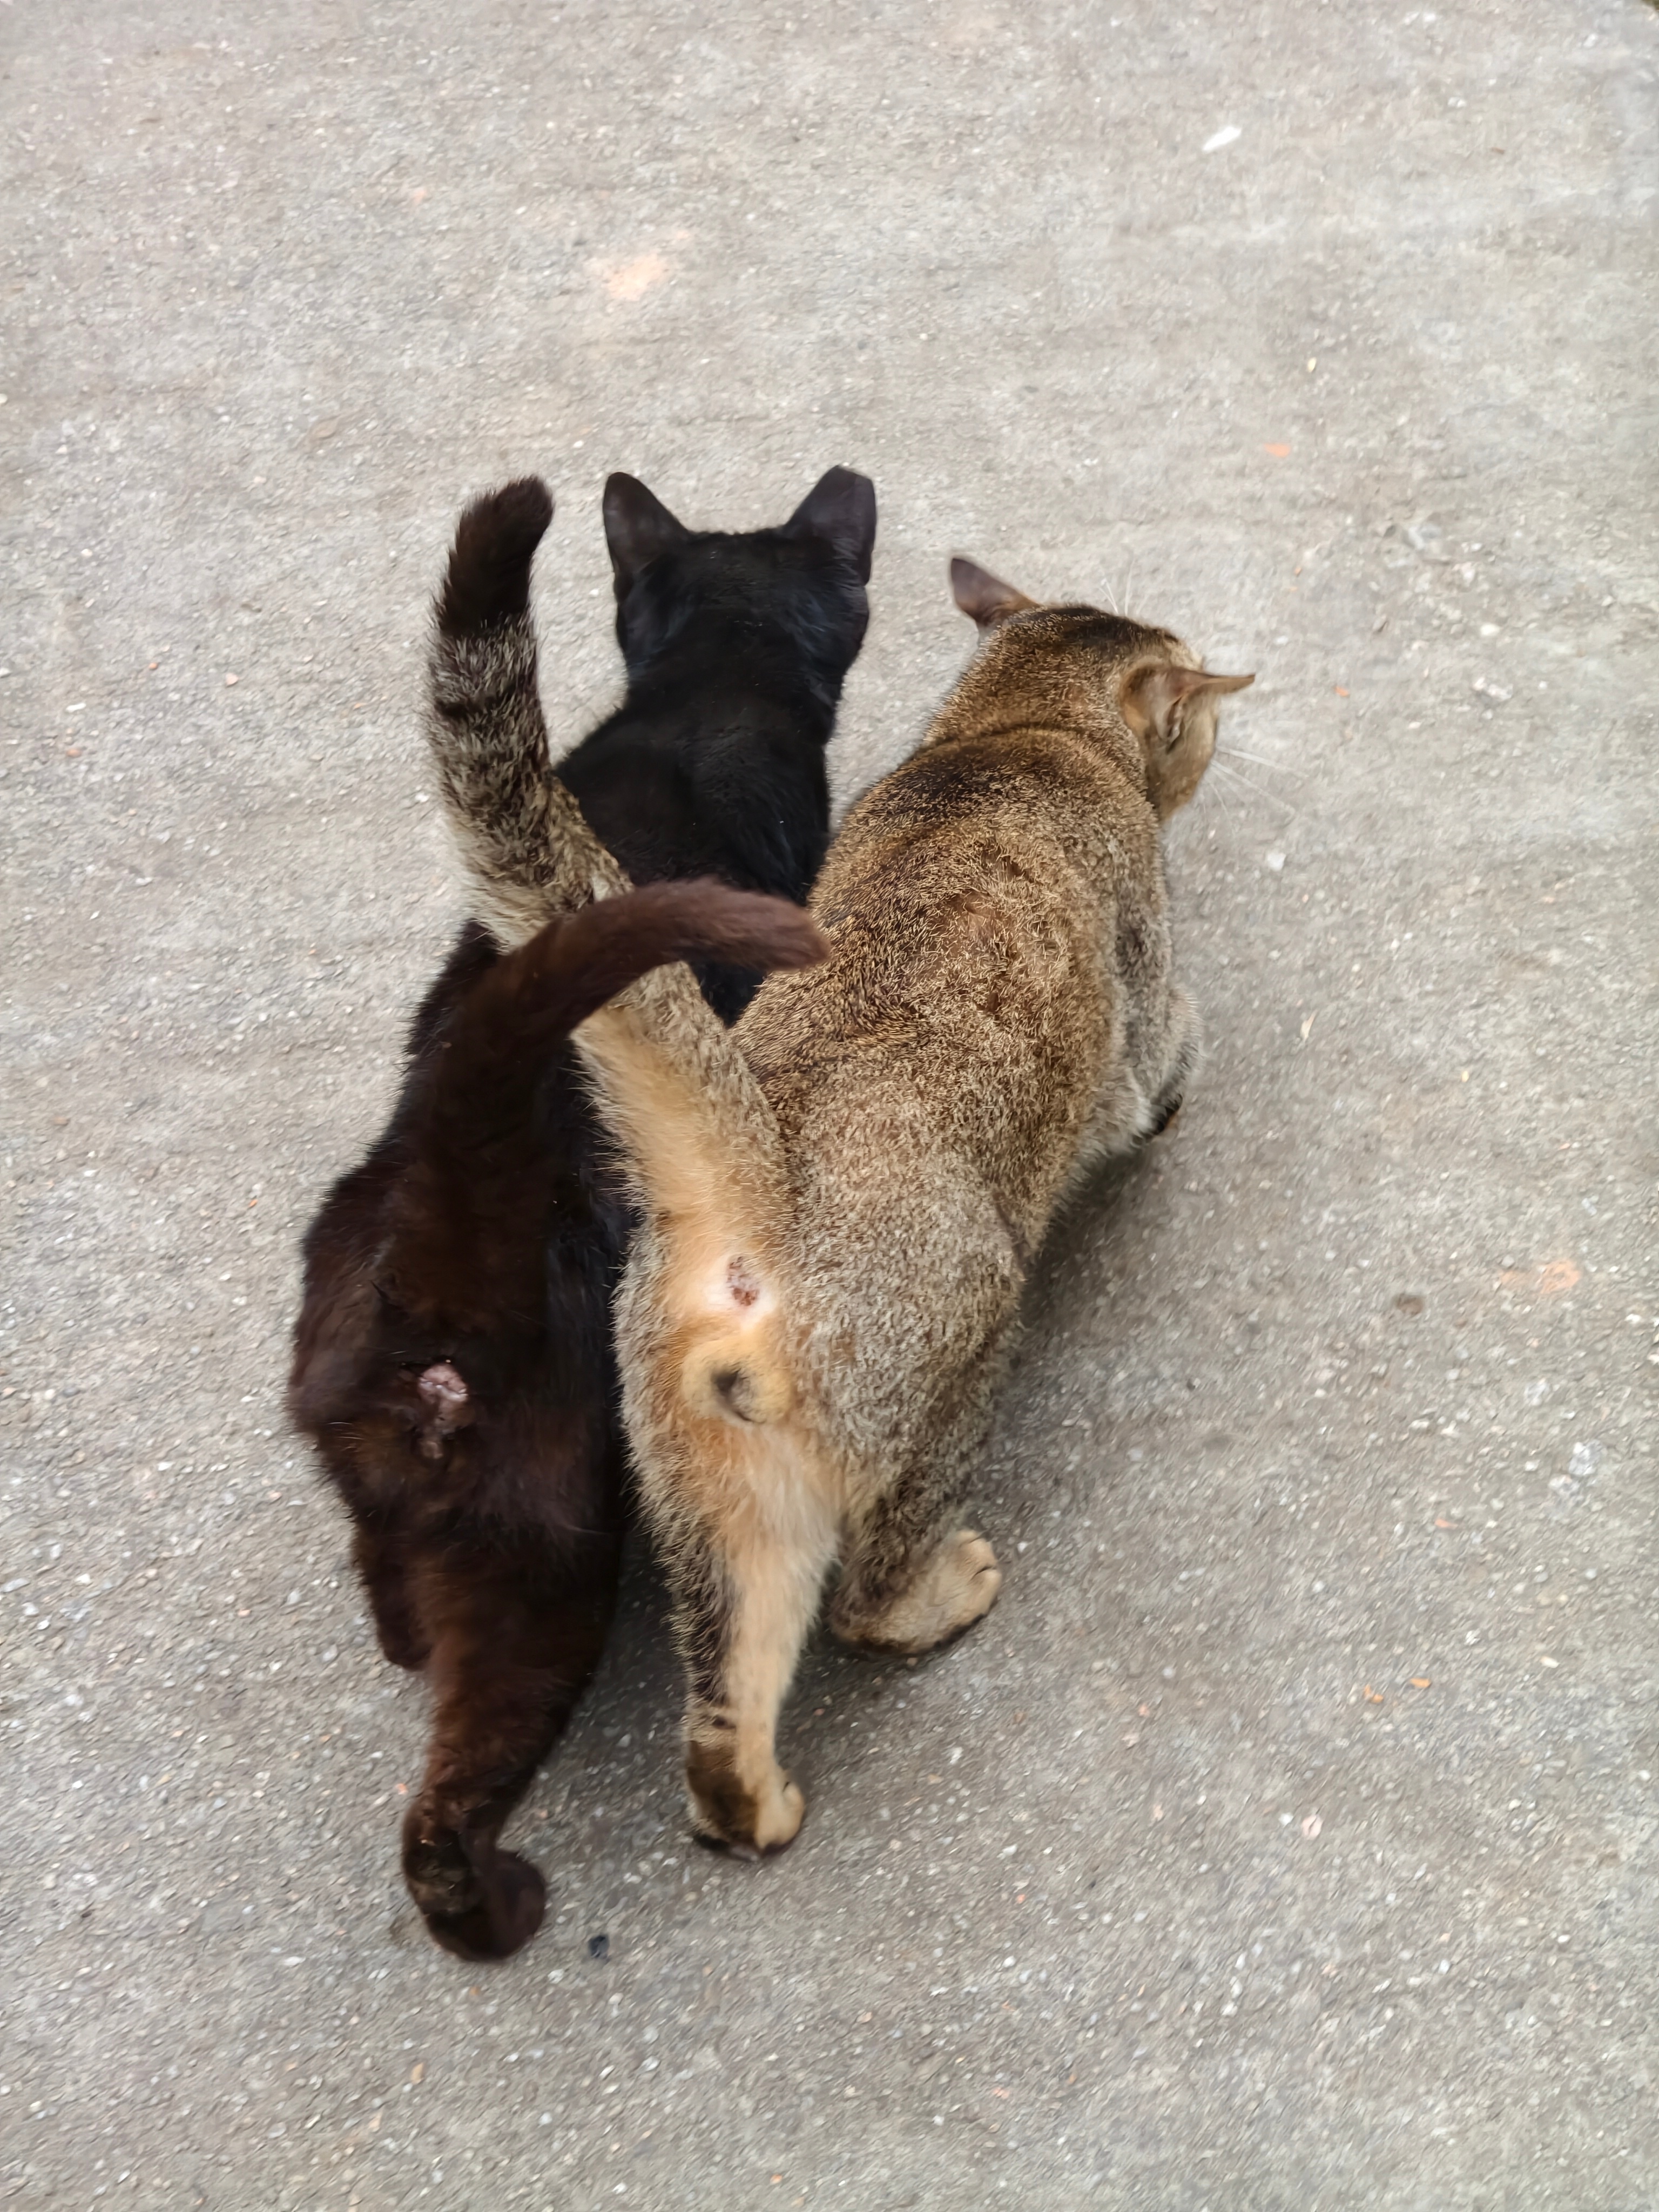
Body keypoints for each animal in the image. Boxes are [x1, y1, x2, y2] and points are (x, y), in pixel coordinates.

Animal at [288, 463, 875, 1958]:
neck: (703, 689)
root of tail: (436, 1248)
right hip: (547, 1575)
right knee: (442, 1808)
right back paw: (495, 1907)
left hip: (399, 1507)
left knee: (393, 1605)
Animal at [426, 554, 1252, 1859]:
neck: (1007, 736)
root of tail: (758, 1177)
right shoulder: (1141, 980)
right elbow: (1166, 1053)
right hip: (952, 1350)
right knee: (862, 1597)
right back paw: (931, 1598)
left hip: (706, 1487)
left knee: (724, 1711)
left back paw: (752, 1802)